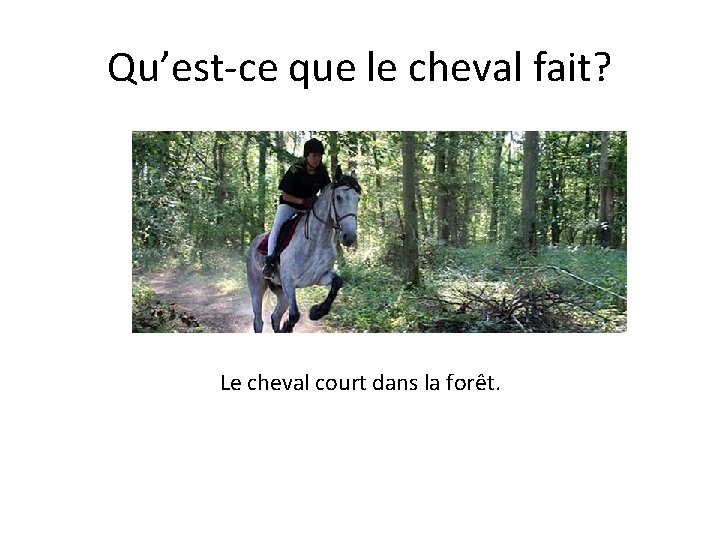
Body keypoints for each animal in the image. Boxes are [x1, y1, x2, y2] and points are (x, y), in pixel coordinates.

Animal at [246, 165, 362, 333]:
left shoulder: (320, 277)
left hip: (281, 291)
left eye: (357, 199)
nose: (350, 237)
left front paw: (317, 312)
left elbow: (337, 282)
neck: (317, 241)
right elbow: (294, 315)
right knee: (258, 321)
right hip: (257, 287)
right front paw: (290, 325)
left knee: (275, 316)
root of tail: (254, 242)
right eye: (339, 197)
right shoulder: (288, 282)